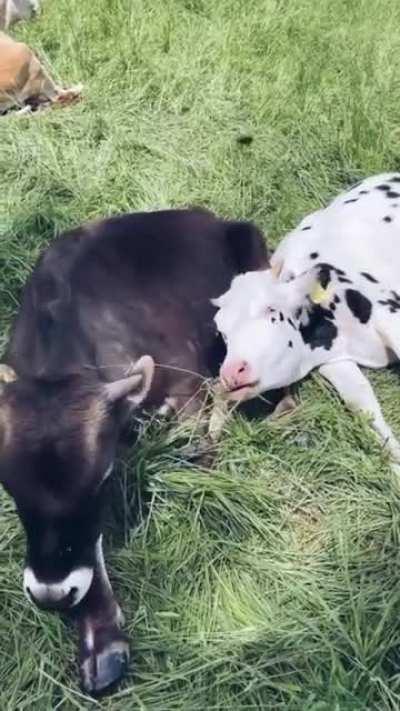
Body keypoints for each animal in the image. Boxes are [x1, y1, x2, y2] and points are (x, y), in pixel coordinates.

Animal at [0, 208, 269, 694]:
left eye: (101, 482)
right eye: (8, 488)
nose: (51, 594)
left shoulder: (186, 390)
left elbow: (200, 453)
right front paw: (101, 643)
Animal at [213, 173, 400, 469]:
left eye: (271, 309)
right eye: (222, 332)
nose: (232, 372)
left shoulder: (390, 314)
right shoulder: (334, 361)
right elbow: (362, 403)